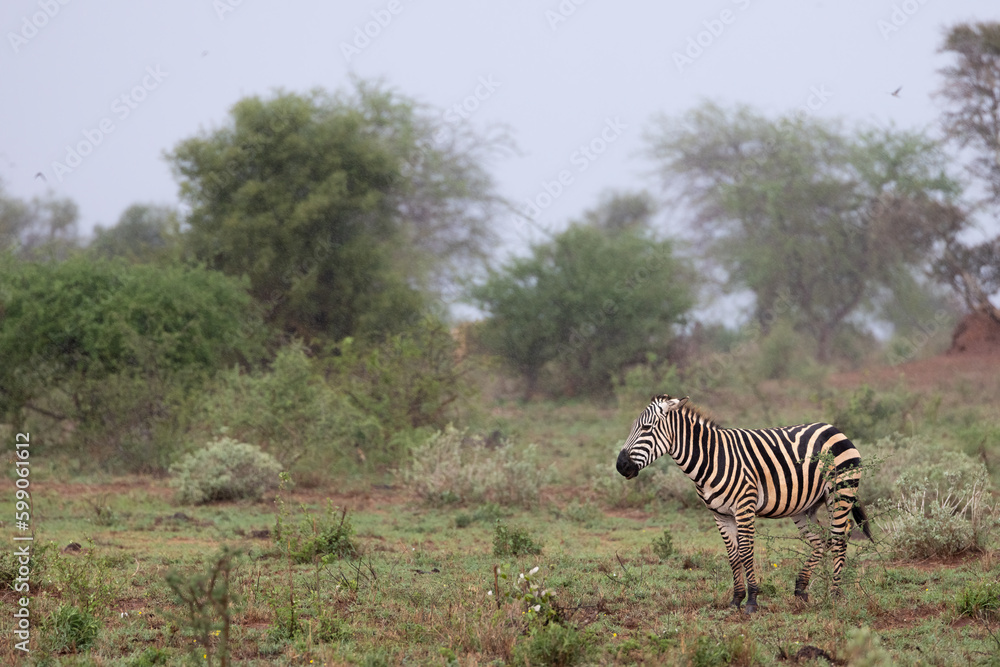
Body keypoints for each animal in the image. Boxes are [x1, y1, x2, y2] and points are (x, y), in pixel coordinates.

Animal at [616, 394, 872, 613]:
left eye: (646, 428)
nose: (620, 466)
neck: (711, 458)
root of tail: (833, 428)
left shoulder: (744, 508)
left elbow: (747, 552)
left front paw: (752, 601)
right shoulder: (720, 515)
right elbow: (733, 555)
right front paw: (736, 599)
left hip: (840, 492)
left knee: (840, 536)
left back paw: (835, 594)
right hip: (806, 506)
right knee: (822, 540)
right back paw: (801, 588)